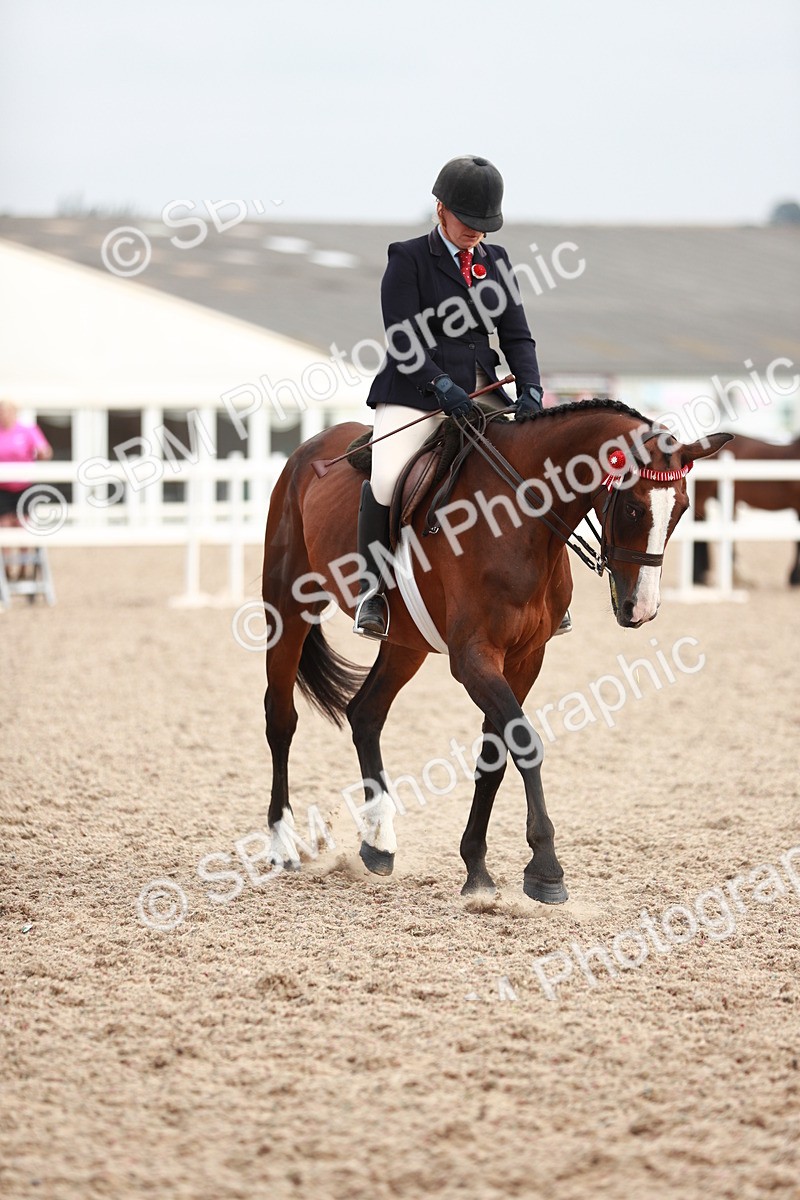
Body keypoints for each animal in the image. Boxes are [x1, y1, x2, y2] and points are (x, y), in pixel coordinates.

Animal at [261, 399, 731, 903]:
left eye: (681, 508)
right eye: (632, 506)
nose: (640, 609)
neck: (517, 516)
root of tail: (306, 449)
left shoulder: (524, 659)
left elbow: (494, 758)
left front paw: (477, 871)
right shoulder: (474, 658)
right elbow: (525, 743)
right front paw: (546, 870)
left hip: (406, 642)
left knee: (366, 713)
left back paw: (379, 843)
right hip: (288, 607)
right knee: (281, 718)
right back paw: (282, 844)